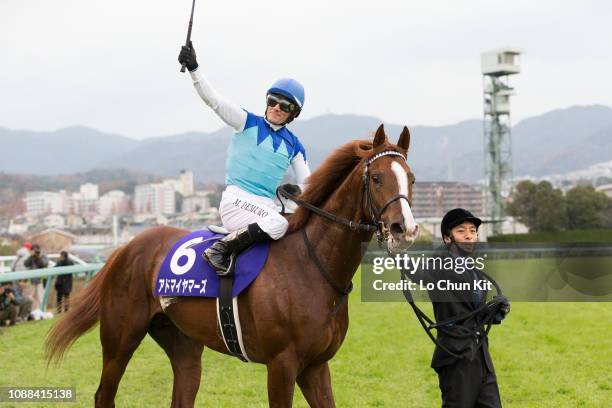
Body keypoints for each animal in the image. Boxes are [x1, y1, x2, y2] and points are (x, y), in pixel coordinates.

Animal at [47, 125, 418, 408]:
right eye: (378, 178)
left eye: (411, 179)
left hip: (183, 344)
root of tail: (126, 247)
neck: (313, 266)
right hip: (120, 339)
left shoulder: (316, 366)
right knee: (103, 395)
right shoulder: (282, 365)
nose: (406, 228)